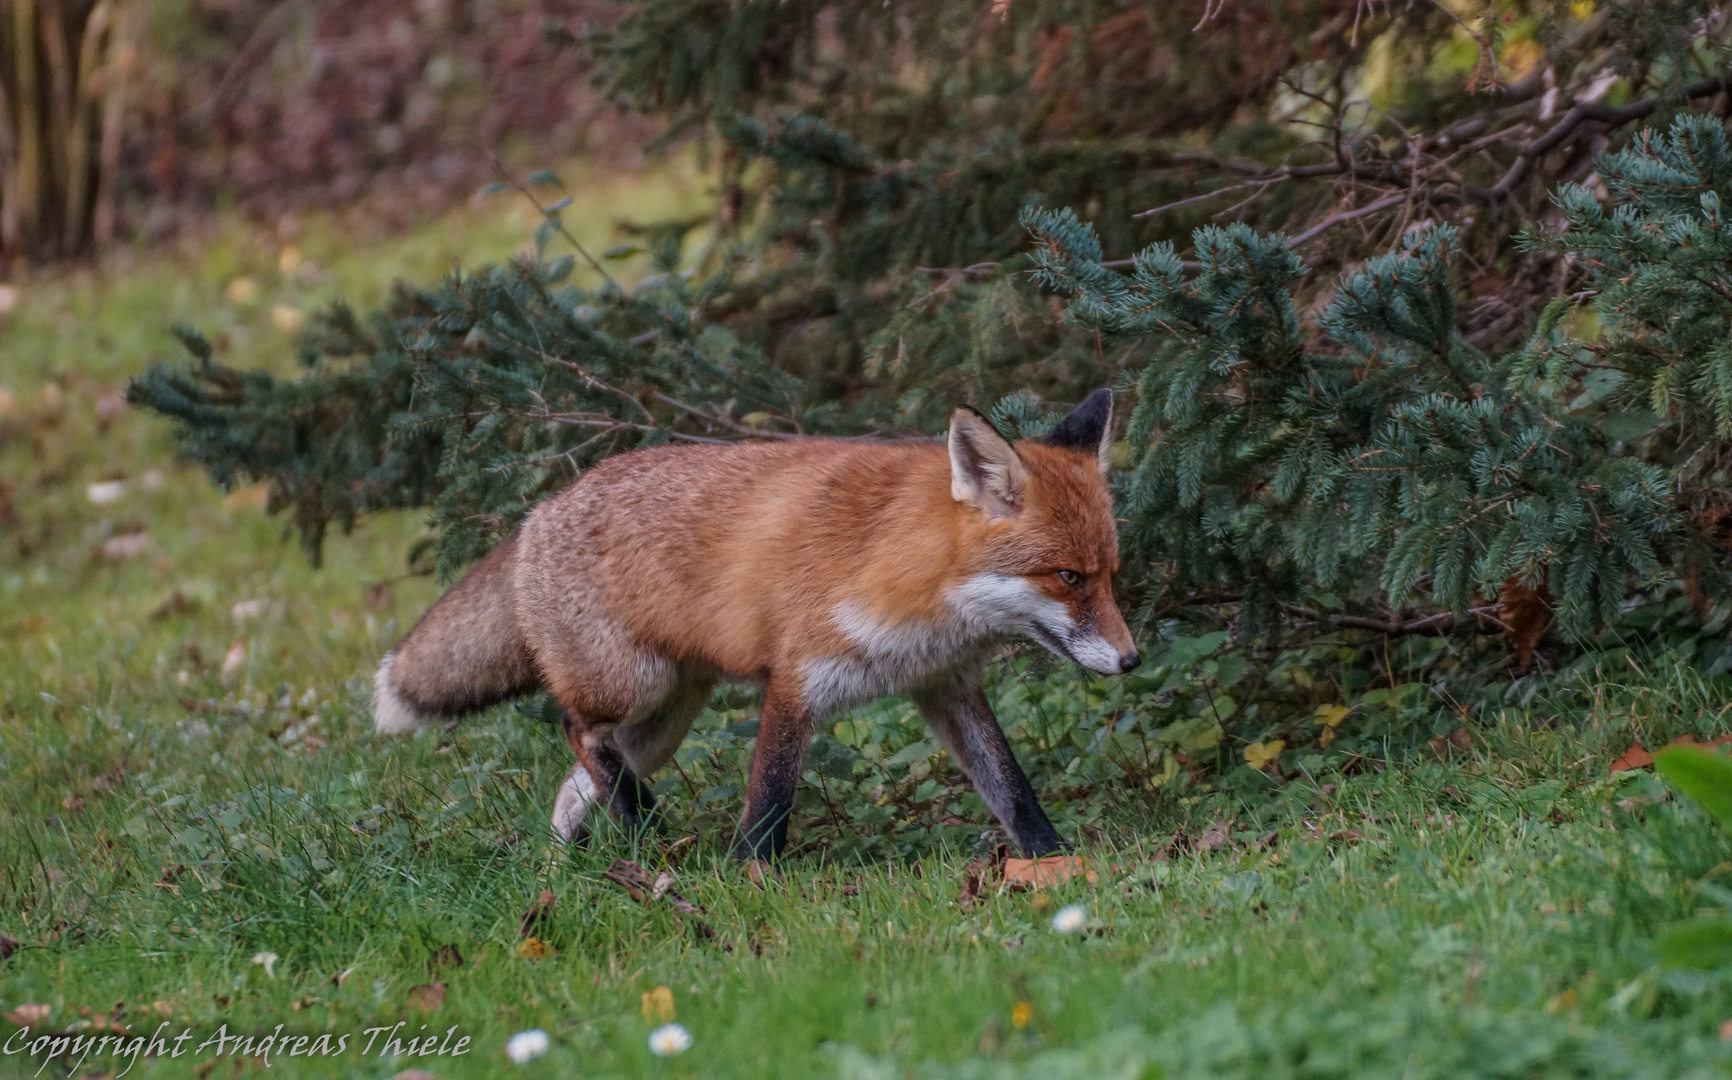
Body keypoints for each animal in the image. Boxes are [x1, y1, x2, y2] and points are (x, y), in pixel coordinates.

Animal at [375, 389, 1136, 861]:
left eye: (1109, 573)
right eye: (1067, 577)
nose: (1131, 661)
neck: (916, 584)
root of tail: (538, 512)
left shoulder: (945, 684)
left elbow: (1012, 787)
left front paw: (1055, 862)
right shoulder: (796, 680)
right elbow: (769, 802)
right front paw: (750, 881)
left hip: (668, 715)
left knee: (577, 779)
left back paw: (582, 858)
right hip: (634, 684)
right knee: (573, 727)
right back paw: (647, 831)